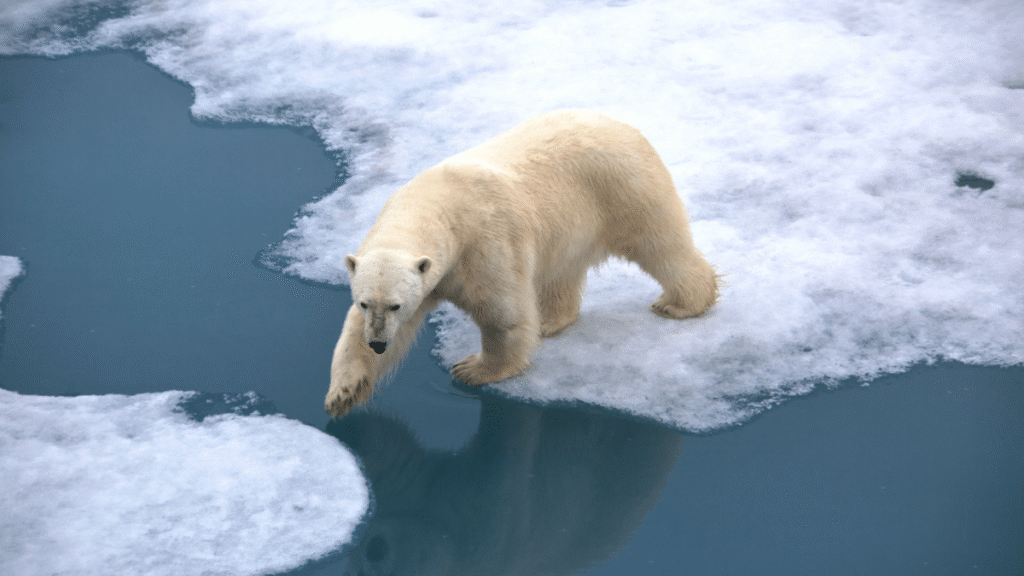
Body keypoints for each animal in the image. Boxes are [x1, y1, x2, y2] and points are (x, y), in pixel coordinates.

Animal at [325, 109, 719, 417]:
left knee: (660, 245)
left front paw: (473, 369)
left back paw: (680, 304)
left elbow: (502, 313)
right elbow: (353, 331)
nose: (378, 344)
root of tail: (621, 124)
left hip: (623, 188)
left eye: (396, 304)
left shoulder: (484, 244)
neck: (438, 206)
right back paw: (548, 321)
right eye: (366, 303)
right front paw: (342, 393)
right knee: (561, 274)